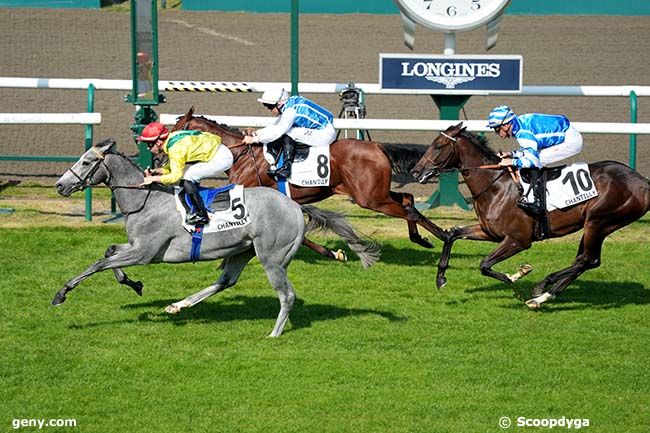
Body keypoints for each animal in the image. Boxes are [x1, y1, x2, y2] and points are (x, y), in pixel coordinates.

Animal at [54, 138, 380, 338]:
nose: (59, 185)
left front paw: (62, 293)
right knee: (226, 280)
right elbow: (109, 252)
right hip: (241, 250)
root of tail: (294, 205)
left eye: (86, 162)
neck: (146, 200)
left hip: (272, 259)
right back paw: (179, 305)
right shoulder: (136, 248)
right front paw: (134, 284)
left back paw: (274, 333)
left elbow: (98, 263)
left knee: (286, 295)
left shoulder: (144, 253)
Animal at [170, 107, 448, 255]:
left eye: (174, 133)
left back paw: (436, 237)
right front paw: (332, 252)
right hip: (377, 193)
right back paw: (430, 237)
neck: (240, 154)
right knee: (408, 200)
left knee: (408, 210)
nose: (162, 154)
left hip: (370, 199)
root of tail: (378, 146)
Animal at [408, 121, 648, 308]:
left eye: (438, 146)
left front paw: (517, 274)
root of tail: (642, 181)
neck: (496, 186)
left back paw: (542, 286)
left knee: (588, 260)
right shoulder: (489, 232)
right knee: (585, 261)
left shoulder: (518, 240)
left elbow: (484, 265)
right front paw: (441, 278)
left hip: (599, 221)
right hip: (599, 225)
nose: (415, 172)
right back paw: (543, 296)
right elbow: (452, 234)